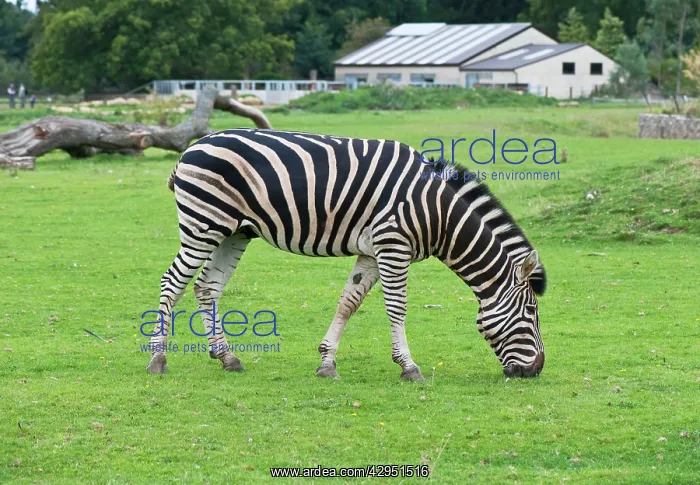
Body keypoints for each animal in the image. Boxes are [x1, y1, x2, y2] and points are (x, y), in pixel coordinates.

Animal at [146, 128, 547, 380]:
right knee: (172, 283)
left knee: (206, 288)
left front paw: (327, 362)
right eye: (531, 312)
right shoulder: (393, 246)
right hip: (203, 223)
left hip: (233, 231)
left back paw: (226, 357)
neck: (437, 212)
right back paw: (158, 358)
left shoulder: (372, 252)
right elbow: (397, 308)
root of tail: (192, 148)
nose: (536, 370)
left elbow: (348, 302)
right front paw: (409, 367)